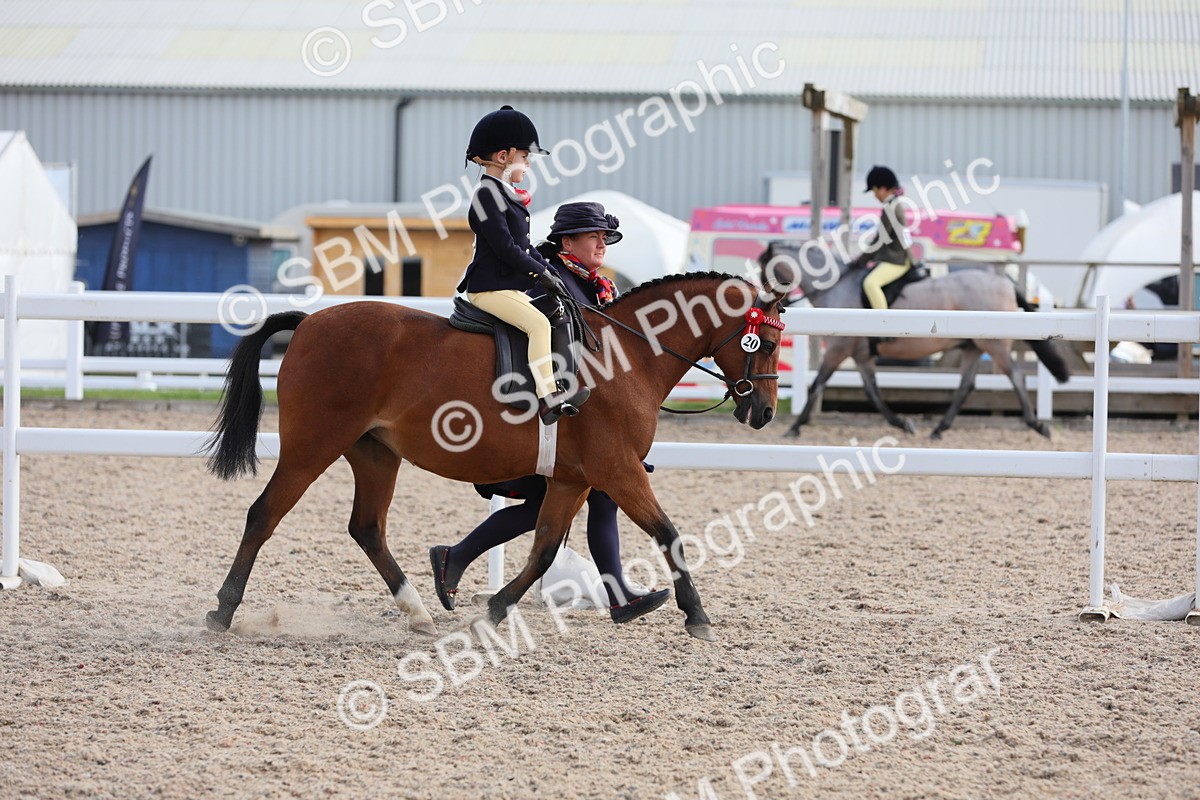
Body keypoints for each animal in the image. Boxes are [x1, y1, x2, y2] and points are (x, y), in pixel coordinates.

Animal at [202, 273, 788, 642]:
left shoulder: (574, 480)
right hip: (311, 447)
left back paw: (420, 611)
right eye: (765, 343)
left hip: (375, 455)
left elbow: (545, 548)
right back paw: (222, 610)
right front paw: (697, 615)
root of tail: (308, 323)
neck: (629, 356)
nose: (763, 411)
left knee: (367, 528)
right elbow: (668, 534)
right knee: (264, 515)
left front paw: (494, 610)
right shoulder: (618, 472)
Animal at [757, 242, 1070, 440]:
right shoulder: (860, 354)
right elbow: (872, 391)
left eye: (762, 269)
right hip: (973, 346)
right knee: (966, 385)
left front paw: (795, 427)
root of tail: (1004, 280)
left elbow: (817, 385)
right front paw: (903, 423)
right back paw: (939, 429)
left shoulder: (839, 349)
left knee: (1016, 376)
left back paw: (1037, 425)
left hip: (995, 346)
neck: (839, 286)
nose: (761, 304)